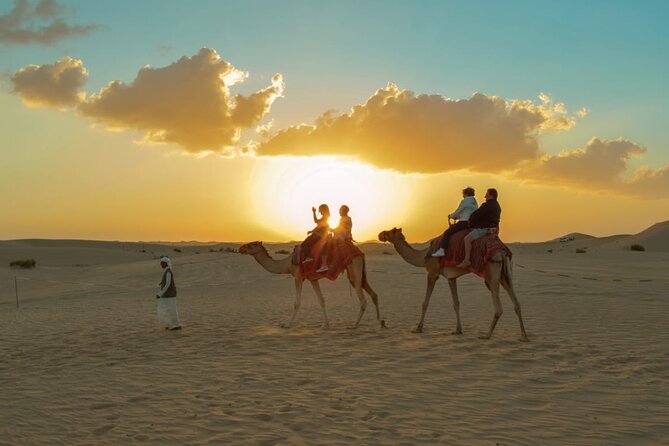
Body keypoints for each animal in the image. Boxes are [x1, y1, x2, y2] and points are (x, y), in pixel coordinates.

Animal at [236, 242, 384, 330]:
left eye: (250, 245)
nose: (240, 248)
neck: (287, 264)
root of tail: (361, 253)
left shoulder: (298, 277)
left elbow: (297, 303)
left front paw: (286, 324)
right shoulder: (313, 279)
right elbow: (321, 300)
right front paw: (327, 324)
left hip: (354, 270)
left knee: (363, 300)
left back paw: (354, 325)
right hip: (359, 273)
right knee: (374, 294)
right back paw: (381, 322)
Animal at [376, 228, 528, 340]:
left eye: (390, 231)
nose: (379, 234)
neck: (424, 256)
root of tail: (502, 251)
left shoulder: (432, 273)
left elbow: (425, 302)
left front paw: (418, 328)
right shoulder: (451, 277)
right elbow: (456, 303)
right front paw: (458, 330)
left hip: (491, 274)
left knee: (498, 307)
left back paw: (487, 335)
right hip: (505, 275)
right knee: (517, 303)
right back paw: (524, 336)